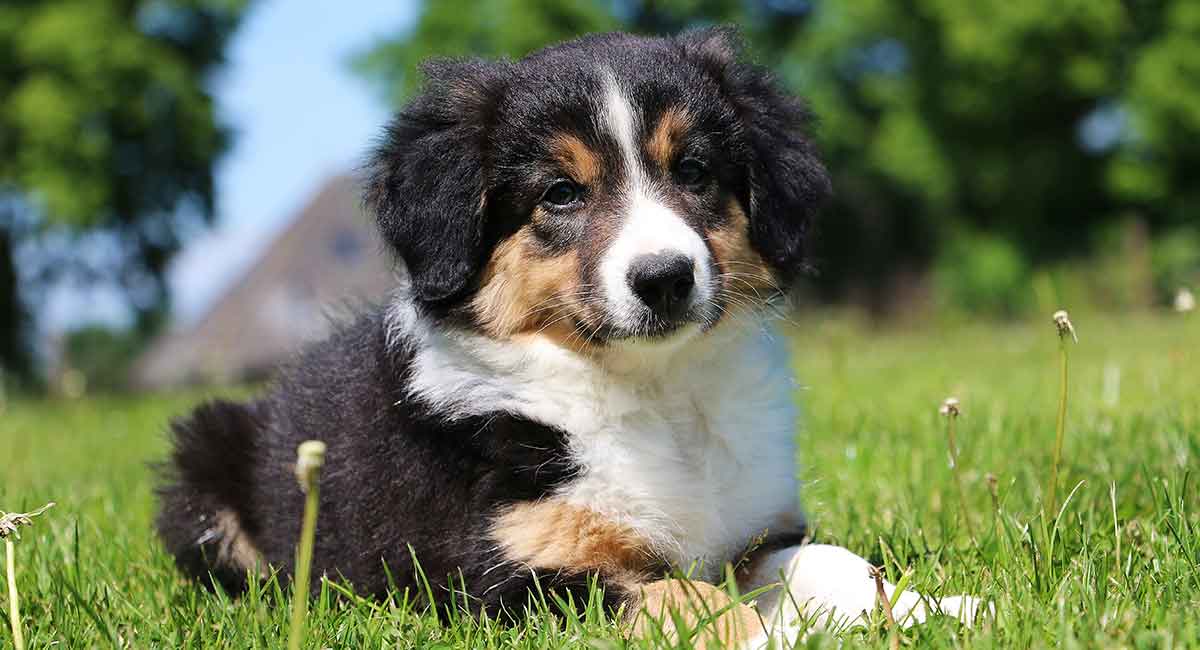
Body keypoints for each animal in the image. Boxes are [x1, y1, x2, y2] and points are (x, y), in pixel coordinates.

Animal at [157, 29, 984, 647]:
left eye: (694, 171)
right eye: (560, 193)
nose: (665, 278)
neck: (653, 393)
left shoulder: (755, 533)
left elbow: (833, 560)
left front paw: (933, 610)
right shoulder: (515, 575)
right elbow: (683, 600)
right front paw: (776, 635)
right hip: (203, 460)